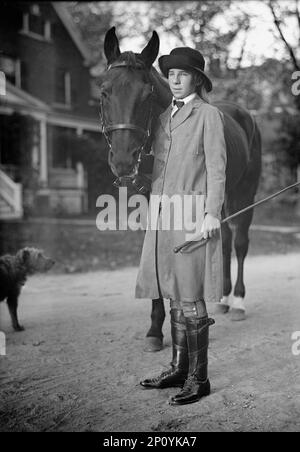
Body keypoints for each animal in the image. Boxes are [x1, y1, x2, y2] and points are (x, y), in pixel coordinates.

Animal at [99, 27, 262, 354]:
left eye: (147, 93)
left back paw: (238, 301)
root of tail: (245, 114)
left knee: (239, 242)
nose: (123, 160)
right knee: (224, 240)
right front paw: (154, 328)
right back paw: (223, 298)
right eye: (104, 91)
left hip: (244, 192)